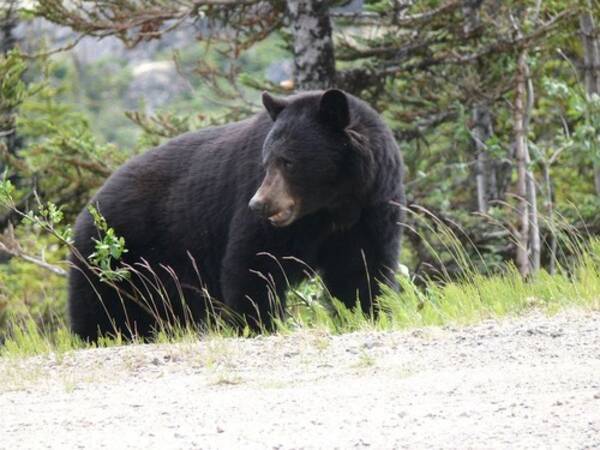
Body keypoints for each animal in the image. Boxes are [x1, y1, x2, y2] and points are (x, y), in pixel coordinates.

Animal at [68, 89, 406, 340]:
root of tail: (88, 208)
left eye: (288, 161)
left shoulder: (372, 207)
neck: (332, 206)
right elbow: (253, 263)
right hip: (113, 257)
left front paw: (367, 313)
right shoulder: (266, 217)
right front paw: (259, 323)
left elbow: (361, 269)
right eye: (266, 161)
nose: (259, 204)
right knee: (100, 307)